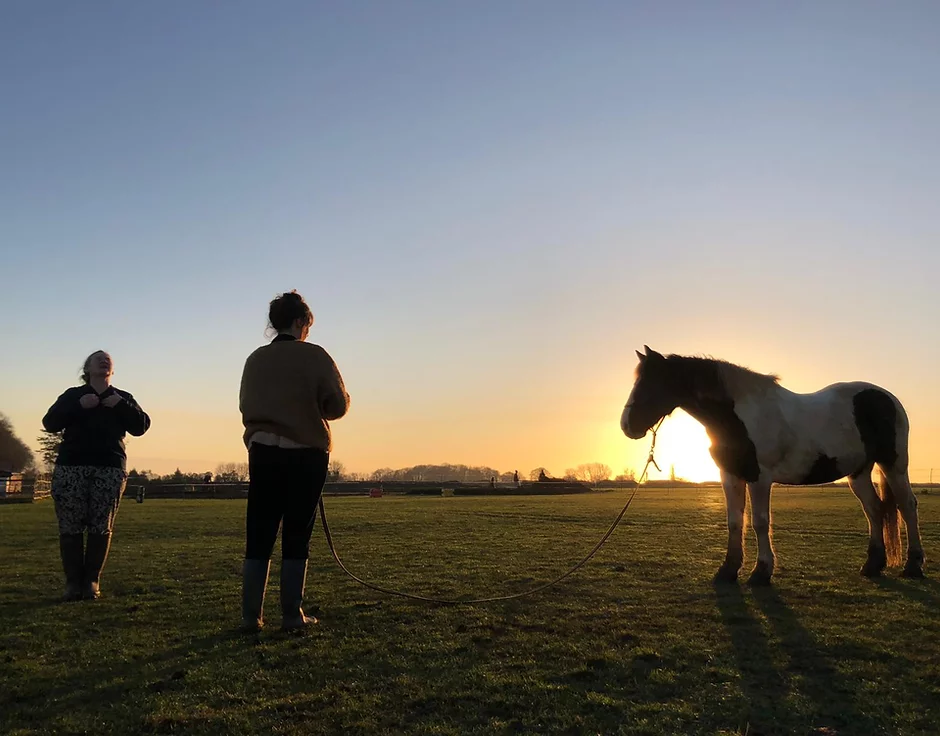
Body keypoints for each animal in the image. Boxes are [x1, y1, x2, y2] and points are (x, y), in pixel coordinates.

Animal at [616, 346, 924, 588]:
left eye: (652, 383)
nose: (627, 426)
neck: (739, 415)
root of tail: (885, 397)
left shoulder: (759, 477)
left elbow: (760, 522)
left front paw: (761, 572)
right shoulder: (730, 475)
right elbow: (734, 521)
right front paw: (727, 570)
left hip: (894, 465)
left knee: (906, 505)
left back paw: (914, 566)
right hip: (858, 472)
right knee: (874, 510)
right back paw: (873, 565)